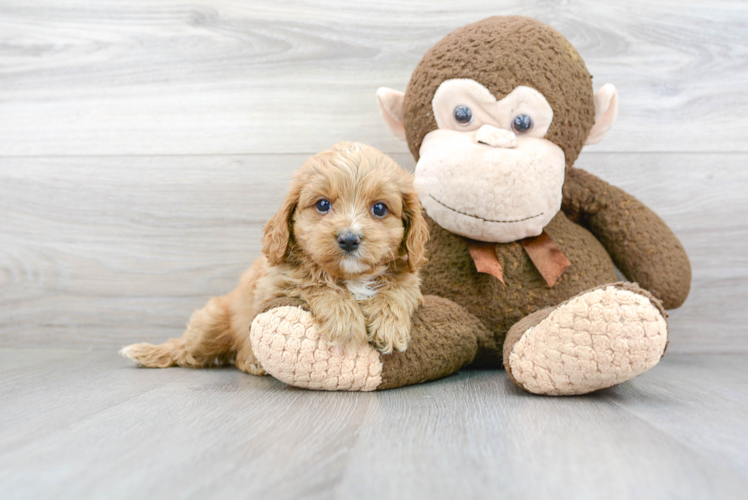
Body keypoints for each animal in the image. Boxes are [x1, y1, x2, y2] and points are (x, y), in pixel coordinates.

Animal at [121, 142, 426, 376]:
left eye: (379, 209)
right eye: (323, 204)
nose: (349, 239)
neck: (349, 277)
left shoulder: (410, 279)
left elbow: (397, 288)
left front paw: (389, 323)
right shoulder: (274, 285)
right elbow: (314, 284)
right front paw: (345, 320)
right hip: (210, 324)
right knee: (189, 350)